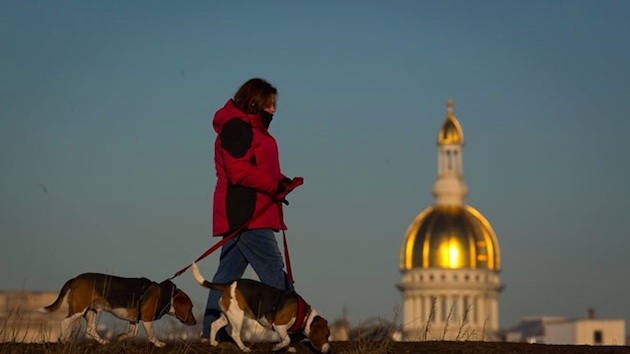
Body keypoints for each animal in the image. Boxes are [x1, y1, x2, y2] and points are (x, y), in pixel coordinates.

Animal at [37, 272, 195, 348]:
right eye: (190, 308)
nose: (194, 323)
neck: (165, 294)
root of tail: (75, 279)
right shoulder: (146, 318)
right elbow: (151, 335)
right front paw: (159, 344)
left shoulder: (134, 320)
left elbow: (133, 333)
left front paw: (120, 337)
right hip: (79, 309)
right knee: (65, 322)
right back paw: (64, 340)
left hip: (91, 311)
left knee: (90, 330)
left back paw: (103, 342)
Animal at [191, 262, 330, 352]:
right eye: (326, 335)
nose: (329, 349)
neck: (305, 314)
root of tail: (228, 284)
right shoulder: (279, 326)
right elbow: (287, 339)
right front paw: (277, 347)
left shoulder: (281, 330)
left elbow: (286, 340)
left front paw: (288, 349)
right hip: (237, 317)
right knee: (235, 334)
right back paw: (244, 348)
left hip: (228, 315)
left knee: (214, 324)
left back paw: (213, 343)